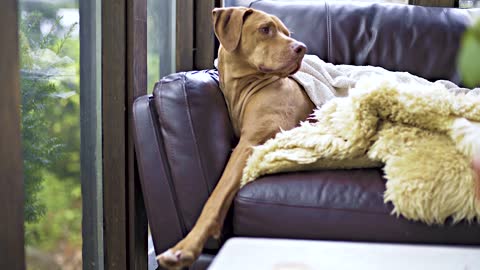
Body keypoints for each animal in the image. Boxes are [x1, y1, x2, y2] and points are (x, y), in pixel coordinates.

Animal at [158, 6, 316, 270]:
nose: (302, 48)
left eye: (286, 33)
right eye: (265, 29)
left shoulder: (250, 144)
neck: (245, 87)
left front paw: (185, 248)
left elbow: (216, 196)